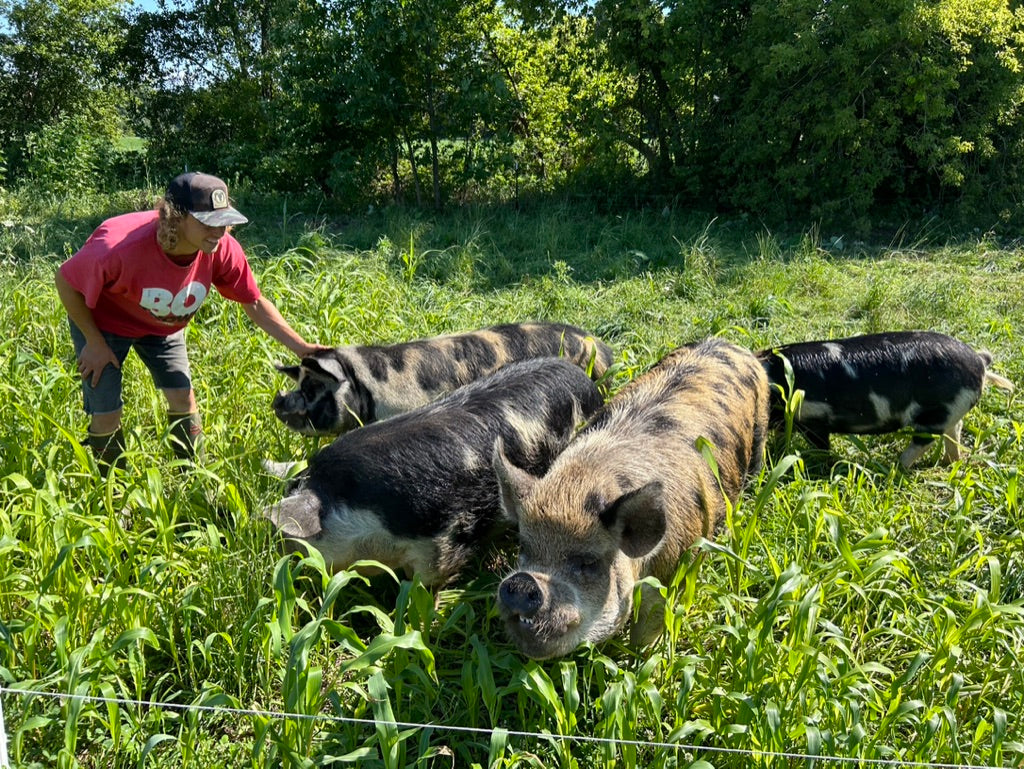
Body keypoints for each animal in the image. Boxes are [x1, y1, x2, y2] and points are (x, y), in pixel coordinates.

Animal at [489, 339, 770, 659]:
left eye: (588, 563)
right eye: (524, 547)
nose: (522, 582)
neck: (582, 482)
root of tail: (732, 345)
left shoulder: (670, 572)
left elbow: (649, 626)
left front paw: (640, 658)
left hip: (761, 429)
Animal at [757, 331, 1011, 468]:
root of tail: (979, 362)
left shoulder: (815, 417)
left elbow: (821, 446)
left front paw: (819, 464)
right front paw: (778, 453)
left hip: (937, 411)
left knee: (926, 439)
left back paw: (894, 467)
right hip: (951, 409)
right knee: (954, 430)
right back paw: (951, 462)